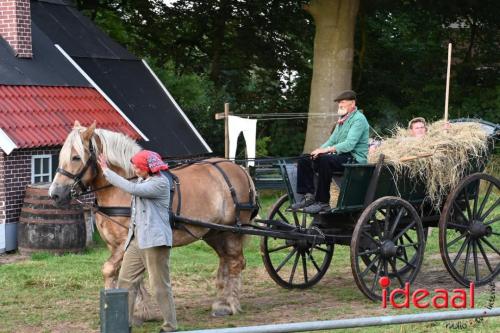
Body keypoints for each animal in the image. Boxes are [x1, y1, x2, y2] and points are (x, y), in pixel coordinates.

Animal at [48, 121, 258, 316]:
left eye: (76, 157)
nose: (55, 194)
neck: (125, 187)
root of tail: (238, 168)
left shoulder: (126, 242)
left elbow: (110, 270)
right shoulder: (115, 245)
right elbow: (131, 274)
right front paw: (141, 311)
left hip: (232, 232)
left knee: (235, 262)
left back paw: (230, 304)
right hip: (215, 232)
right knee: (226, 260)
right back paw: (221, 302)